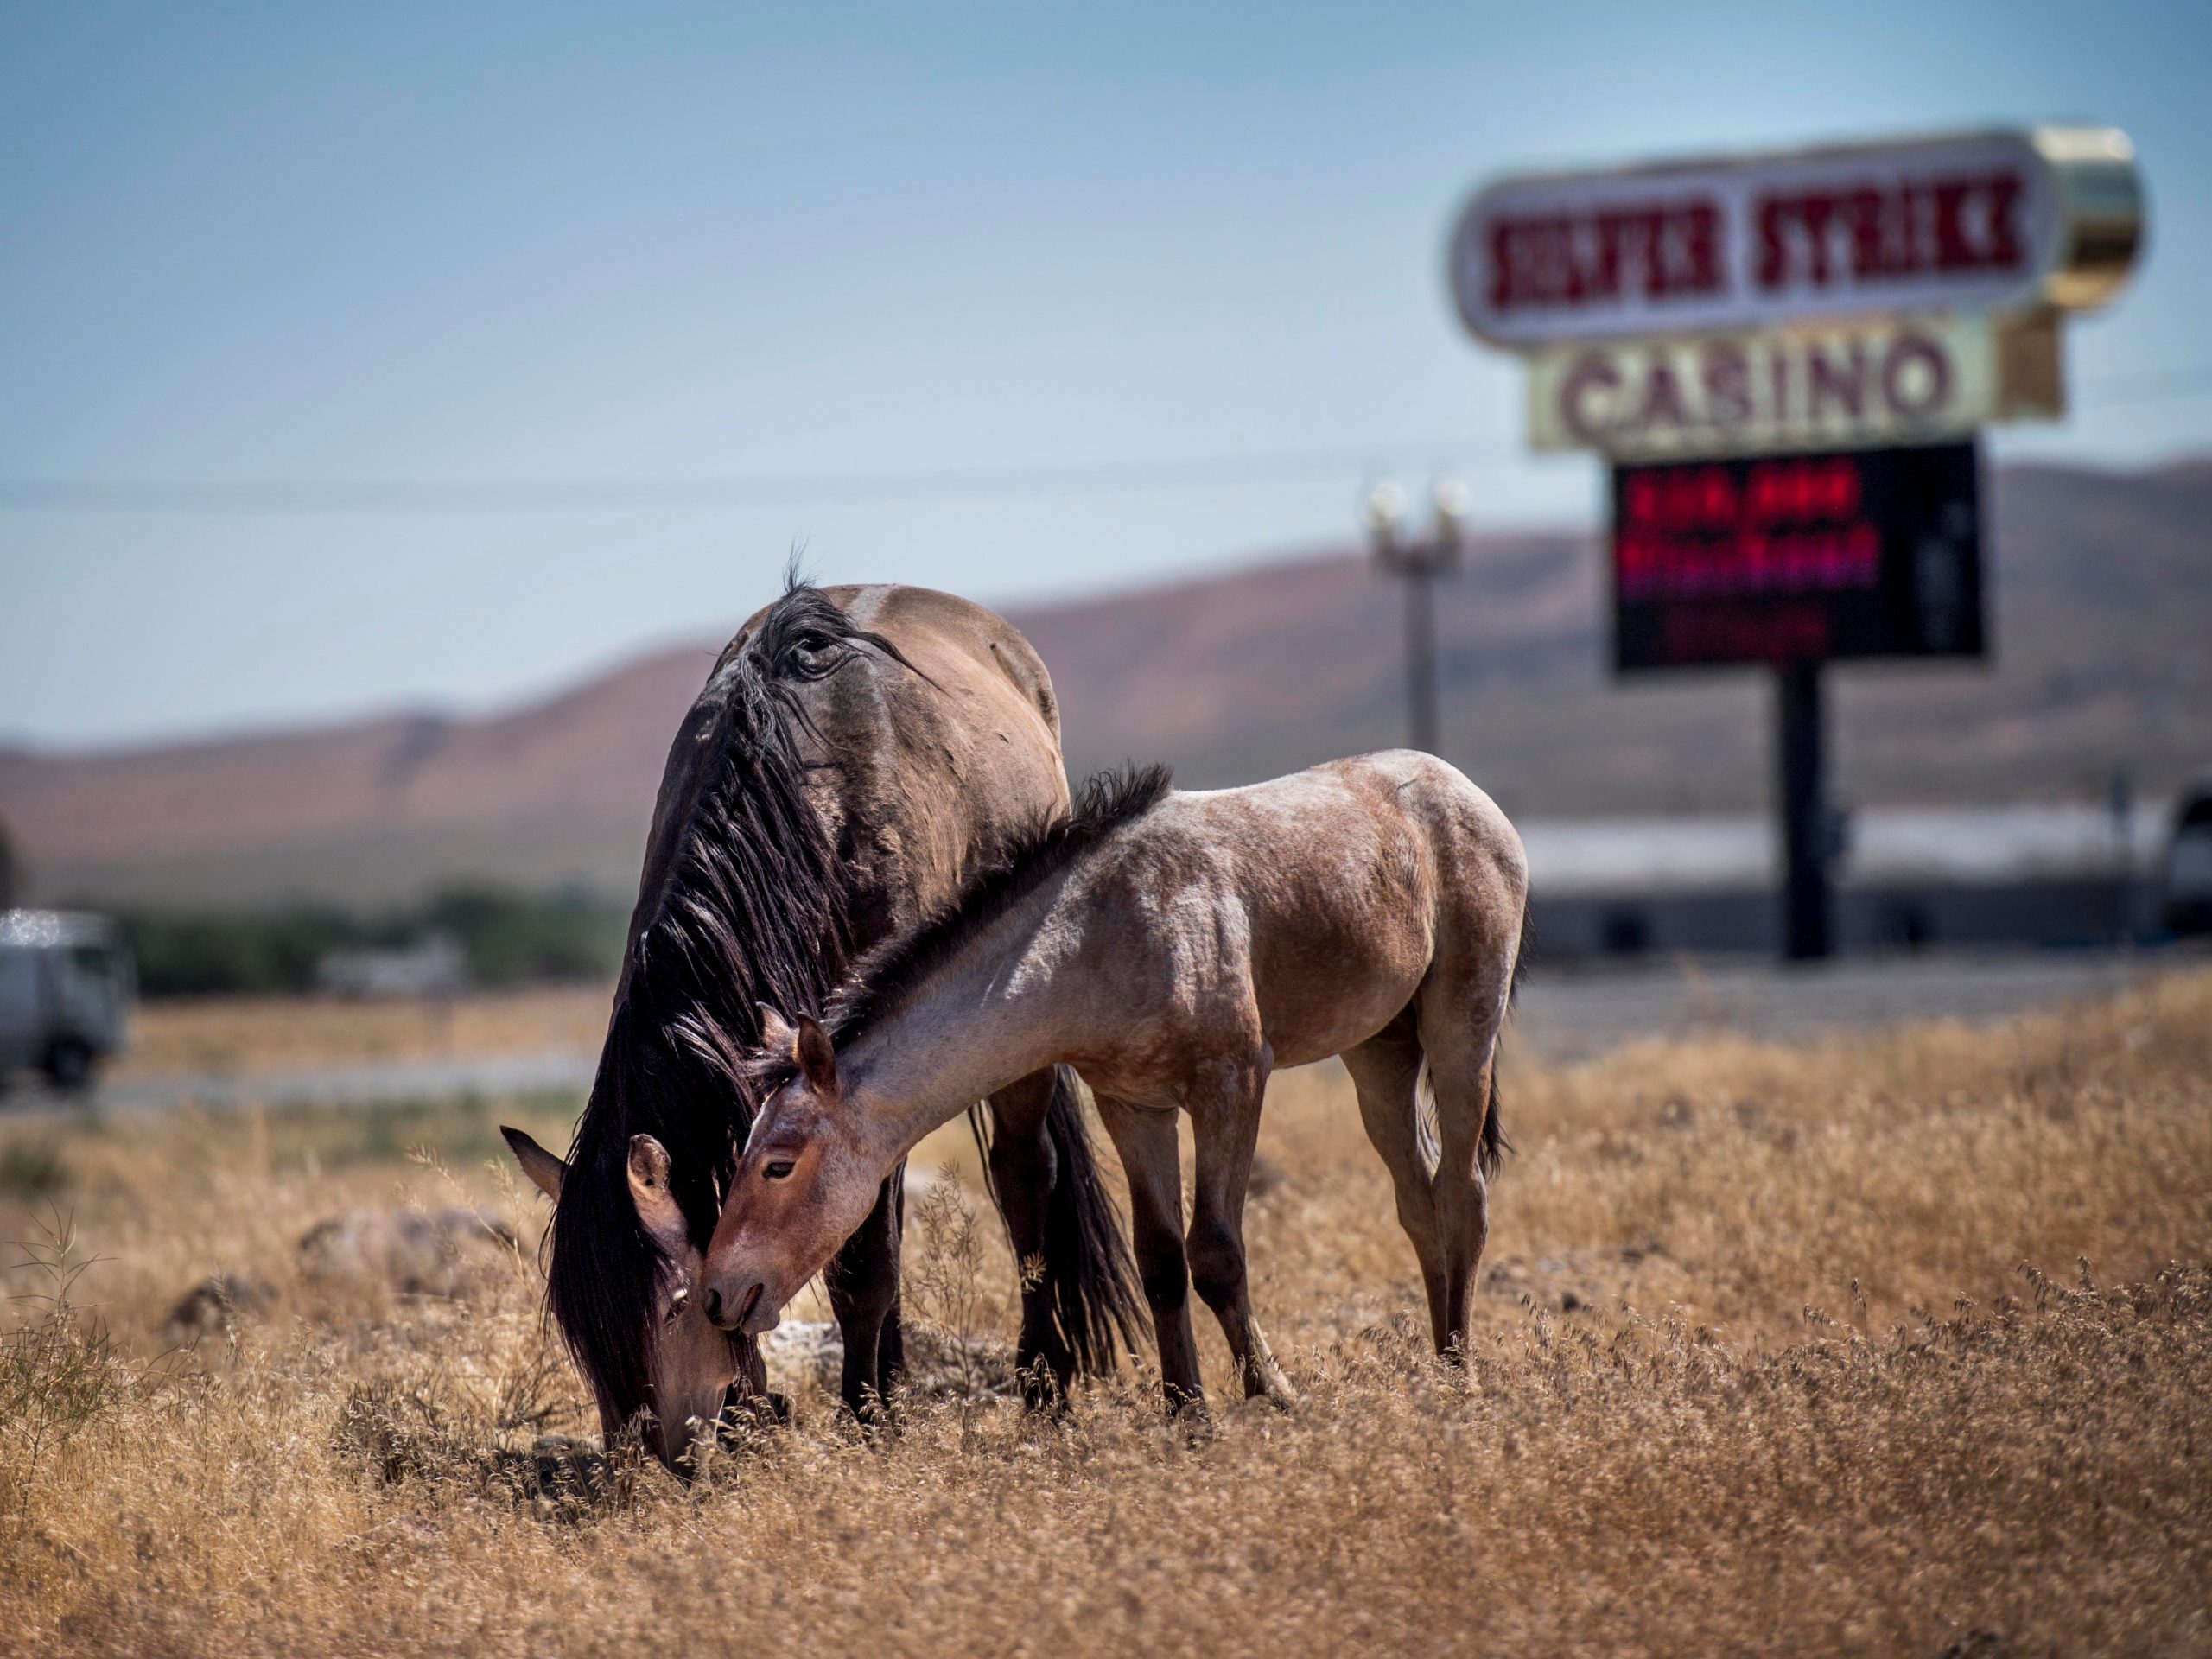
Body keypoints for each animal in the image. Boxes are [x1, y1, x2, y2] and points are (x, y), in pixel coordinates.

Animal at [504, 579, 1141, 1468]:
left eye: (671, 1304)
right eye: (580, 1330)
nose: (656, 1460)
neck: (802, 807)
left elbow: (865, 1260)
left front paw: (866, 1420)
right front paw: (831, 1406)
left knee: (1024, 1182)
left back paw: (1041, 1386)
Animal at [698, 752, 1530, 1415]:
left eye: (778, 1165)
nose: (716, 1294)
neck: (1104, 935)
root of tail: (1467, 792)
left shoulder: (1232, 1085)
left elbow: (1216, 1253)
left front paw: (1273, 1394)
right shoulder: (1135, 1107)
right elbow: (1160, 1260)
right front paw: (1186, 1412)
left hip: (1462, 1026)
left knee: (1464, 1195)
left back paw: (1462, 1372)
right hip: (1379, 1054)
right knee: (1418, 1201)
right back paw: (1438, 1362)